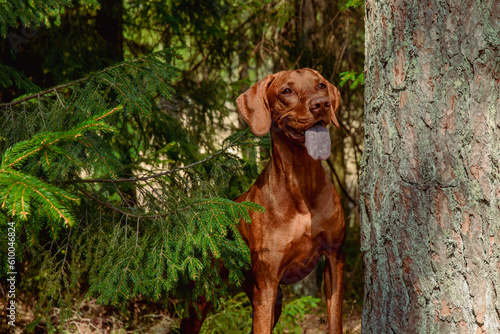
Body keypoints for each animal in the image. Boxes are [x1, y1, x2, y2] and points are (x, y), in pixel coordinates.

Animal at [182, 69, 346, 332]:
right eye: (286, 91)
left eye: (321, 85)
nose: (321, 104)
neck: (301, 185)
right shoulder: (267, 281)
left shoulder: (334, 258)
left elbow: (335, 320)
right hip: (203, 293)